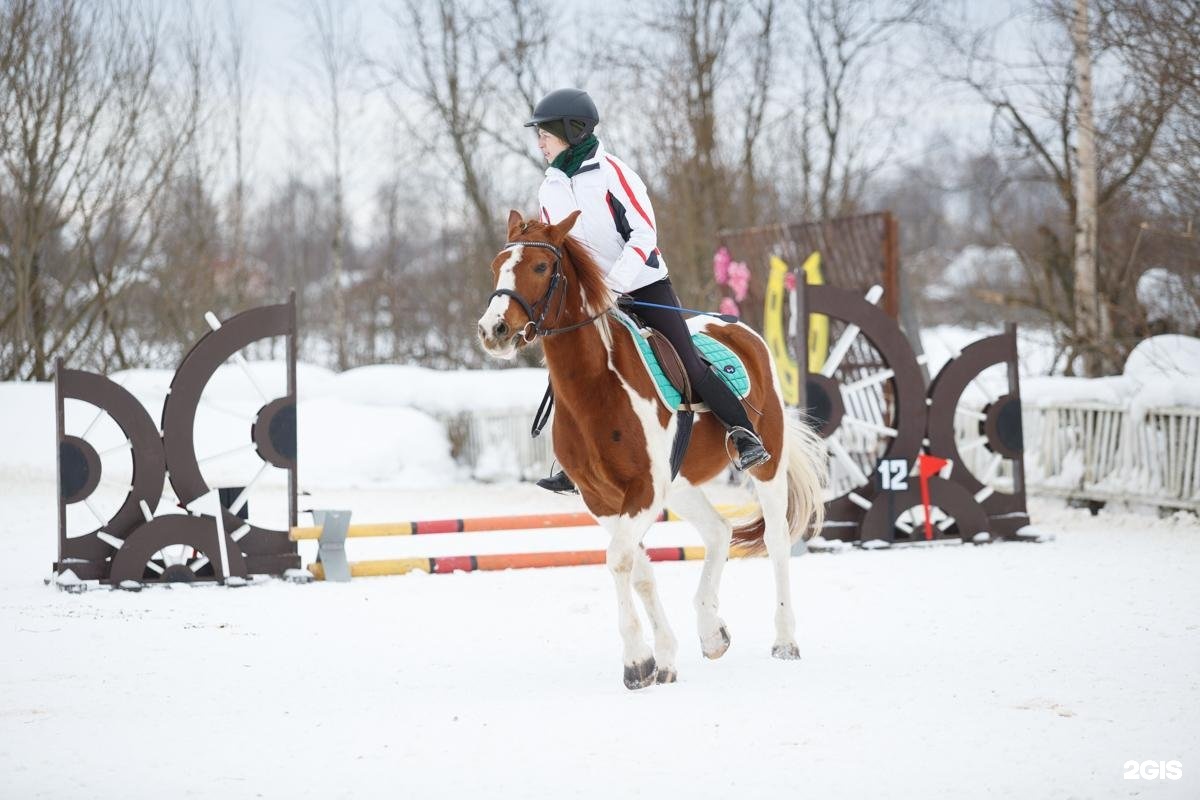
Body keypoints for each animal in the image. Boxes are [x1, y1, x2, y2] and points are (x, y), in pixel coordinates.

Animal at [477, 209, 825, 690]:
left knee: (775, 541)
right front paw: (660, 658)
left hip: (764, 467)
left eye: (541, 267)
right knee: (718, 532)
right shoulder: (603, 499)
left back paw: (785, 641)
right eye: (496, 266)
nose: (493, 331)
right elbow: (637, 567)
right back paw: (711, 632)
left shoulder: (643, 490)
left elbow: (619, 559)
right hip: (680, 485)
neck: (594, 387)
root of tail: (738, 328)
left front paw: (637, 660)